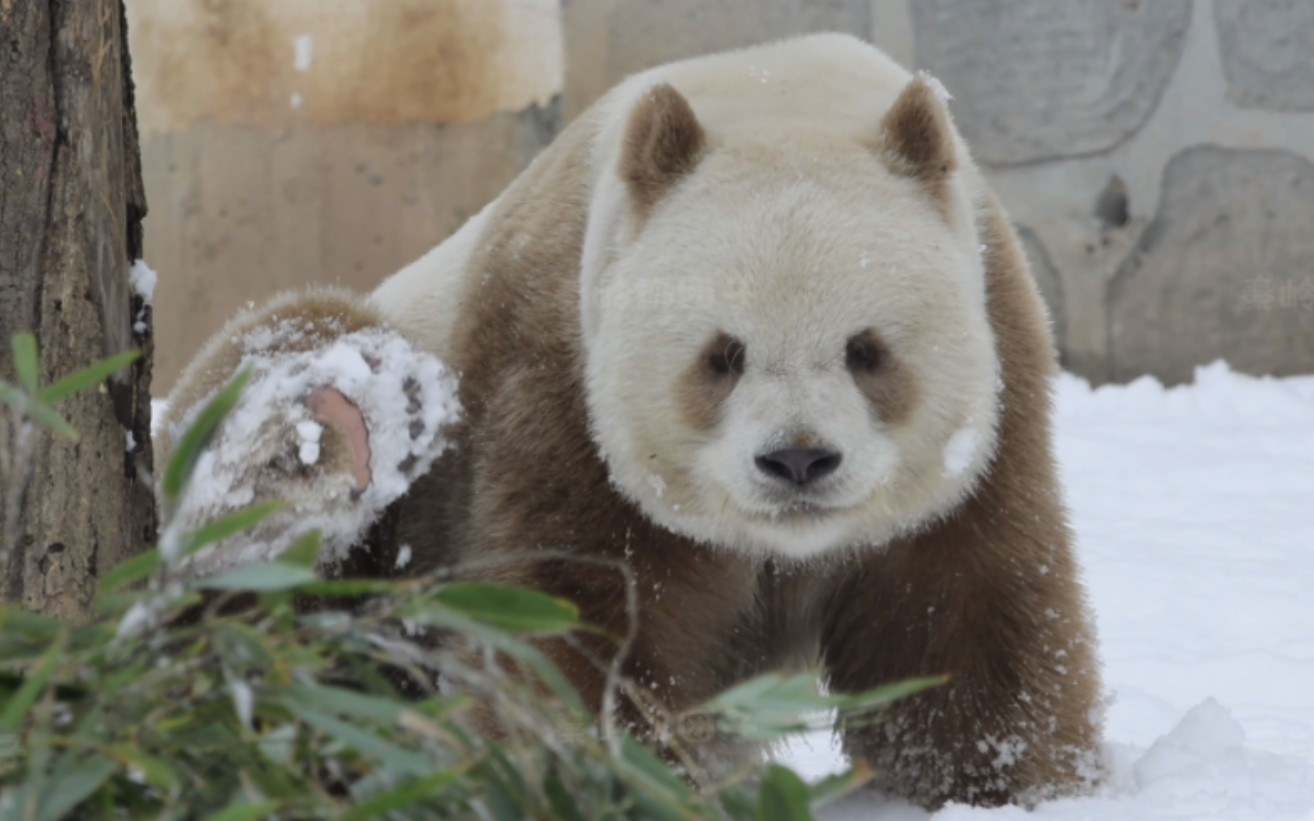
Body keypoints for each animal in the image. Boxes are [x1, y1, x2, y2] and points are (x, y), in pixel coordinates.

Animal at [155, 33, 1103, 808]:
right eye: (723, 355)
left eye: (866, 350)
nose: (798, 461)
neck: (775, 95)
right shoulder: (554, 363)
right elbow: (576, 618)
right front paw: (587, 772)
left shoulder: (999, 358)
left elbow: (962, 615)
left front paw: (1003, 779)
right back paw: (327, 435)